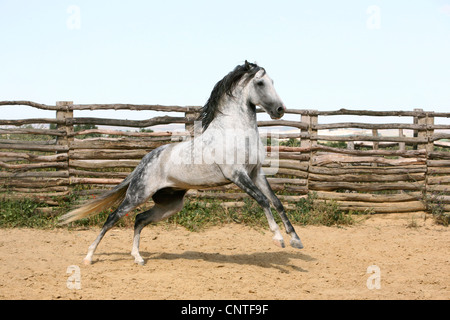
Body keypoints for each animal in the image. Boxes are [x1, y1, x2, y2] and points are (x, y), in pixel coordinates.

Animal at [59, 61, 304, 266]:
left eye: (273, 81)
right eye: (261, 82)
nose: (280, 110)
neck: (234, 131)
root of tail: (144, 162)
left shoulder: (256, 173)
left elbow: (277, 202)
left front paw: (296, 240)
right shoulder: (237, 175)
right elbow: (263, 200)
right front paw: (279, 239)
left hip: (169, 205)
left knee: (139, 219)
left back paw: (138, 258)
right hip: (137, 195)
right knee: (112, 218)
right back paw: (89, 257)